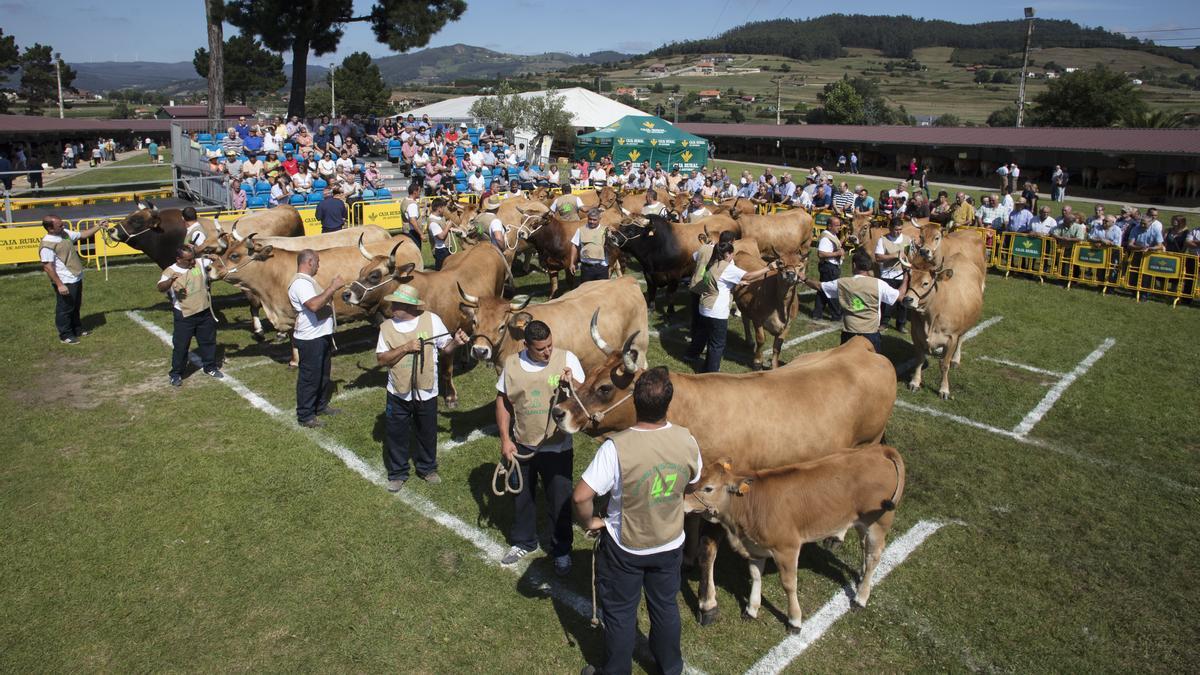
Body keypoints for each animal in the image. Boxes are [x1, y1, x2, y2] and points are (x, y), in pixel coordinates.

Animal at [681, 444, 902, 629]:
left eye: (708, 488)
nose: (682, 501)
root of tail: (879, 450)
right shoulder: (755, 547)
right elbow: (755, 576)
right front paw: (751, 609)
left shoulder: (787, 547)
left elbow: (789, 584)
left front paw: (795, 620)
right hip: (862, 523)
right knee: (865, 549)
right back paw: (862, 576)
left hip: (878, 523)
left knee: (874, 557)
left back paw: (860, 598)